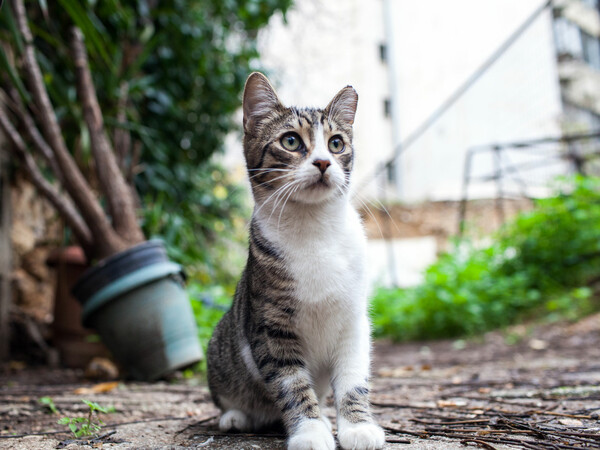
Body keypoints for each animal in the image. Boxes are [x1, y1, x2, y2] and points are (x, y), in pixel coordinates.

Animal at [206, 72, 384, 448]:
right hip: (220, 347)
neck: (314, 230)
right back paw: (236, 416)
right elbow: (292, 384)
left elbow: (353, 380)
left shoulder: (354, 322)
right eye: (290, 141)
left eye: (336, 144)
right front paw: (311, 432)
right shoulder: (270, 327)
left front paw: (357, 426)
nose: (323, 162)